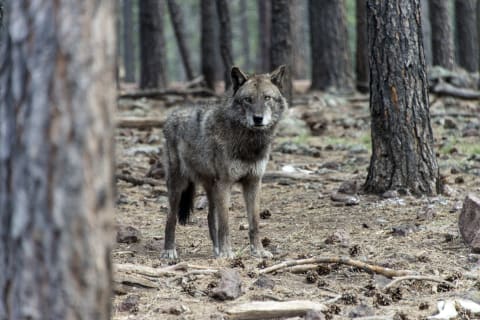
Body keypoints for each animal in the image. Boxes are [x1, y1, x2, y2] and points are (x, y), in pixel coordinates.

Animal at [161, 64, 288, 258]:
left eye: (267, 98)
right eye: (248, 100)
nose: (258, 118)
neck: (248, 142)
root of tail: (171, 115)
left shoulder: (253, 182)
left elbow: (254, 223)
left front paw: (258, 251)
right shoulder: (225, 183)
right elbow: (225, 224)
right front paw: (227, 252)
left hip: (212, 188)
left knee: (209, 217)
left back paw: (216, 250)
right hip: (178, 186)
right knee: (170, 218)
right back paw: (169, 251)